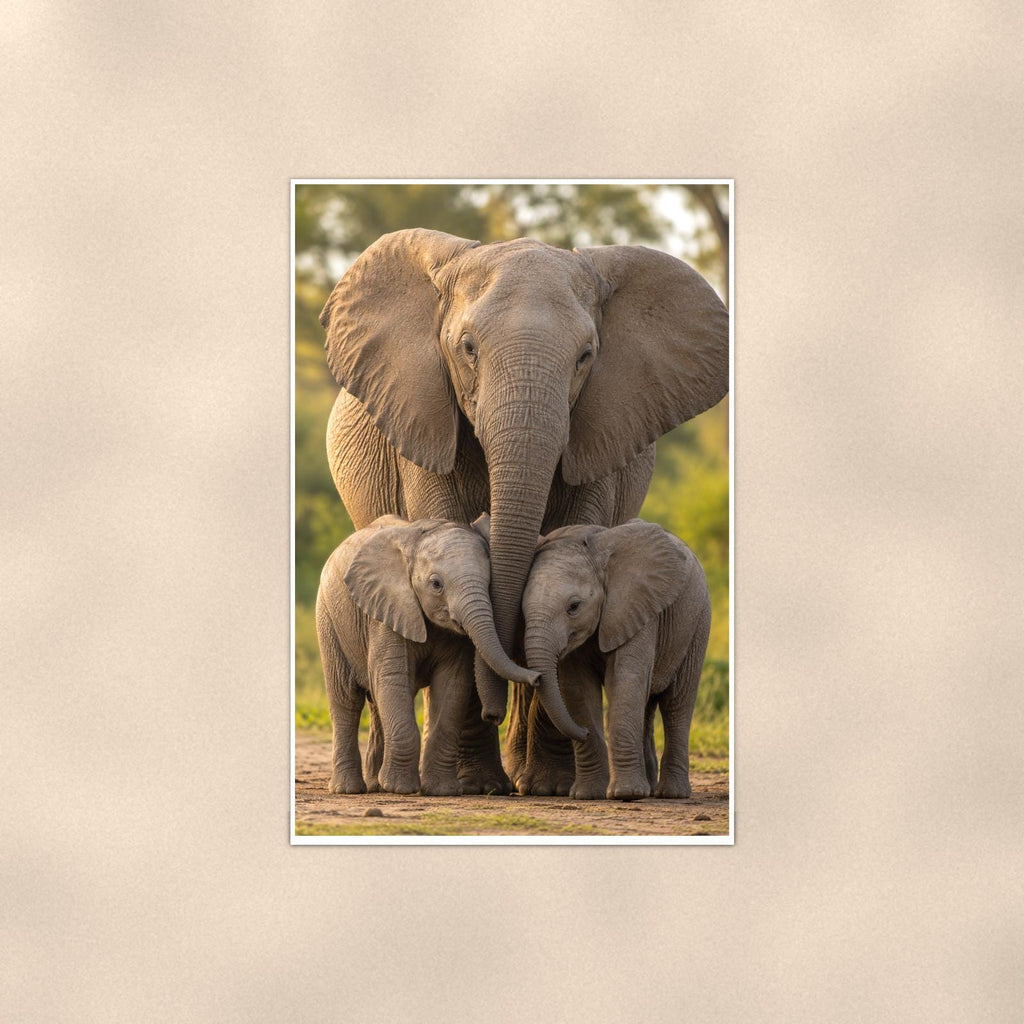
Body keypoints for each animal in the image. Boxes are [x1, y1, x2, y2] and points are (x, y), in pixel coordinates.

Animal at [315, 515, 537, 796]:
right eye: (436, 584)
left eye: (489, 583)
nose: (493, 716)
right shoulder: (387, 611)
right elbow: (392, 679)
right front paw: (400, 788)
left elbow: (452, 685)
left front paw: (443, 791)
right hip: (329, 621)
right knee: (346, 699)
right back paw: (348, 789)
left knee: (377, 702)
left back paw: (376, 785)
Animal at [518, 519, 711, 800]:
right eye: (521, 609)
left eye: (574, 607)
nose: (584, 732)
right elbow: (577, 689)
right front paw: (587, 795)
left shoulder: (637, 608)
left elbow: (624, 680)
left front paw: (626, 793)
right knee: (647, 704)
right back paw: (649, 787)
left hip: (697, 622)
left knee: (677, 704)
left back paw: (670, 793)